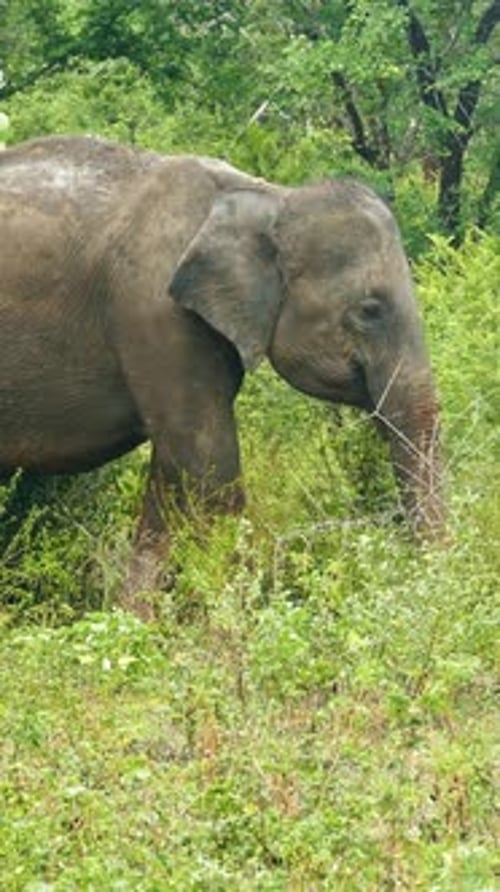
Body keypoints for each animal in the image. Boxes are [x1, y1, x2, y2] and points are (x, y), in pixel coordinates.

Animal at [0, 136, 443, 614]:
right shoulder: (156, 313)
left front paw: (137, 622)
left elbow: (173, 480)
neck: (268, 197)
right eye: (369, 310)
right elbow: (209, 473)